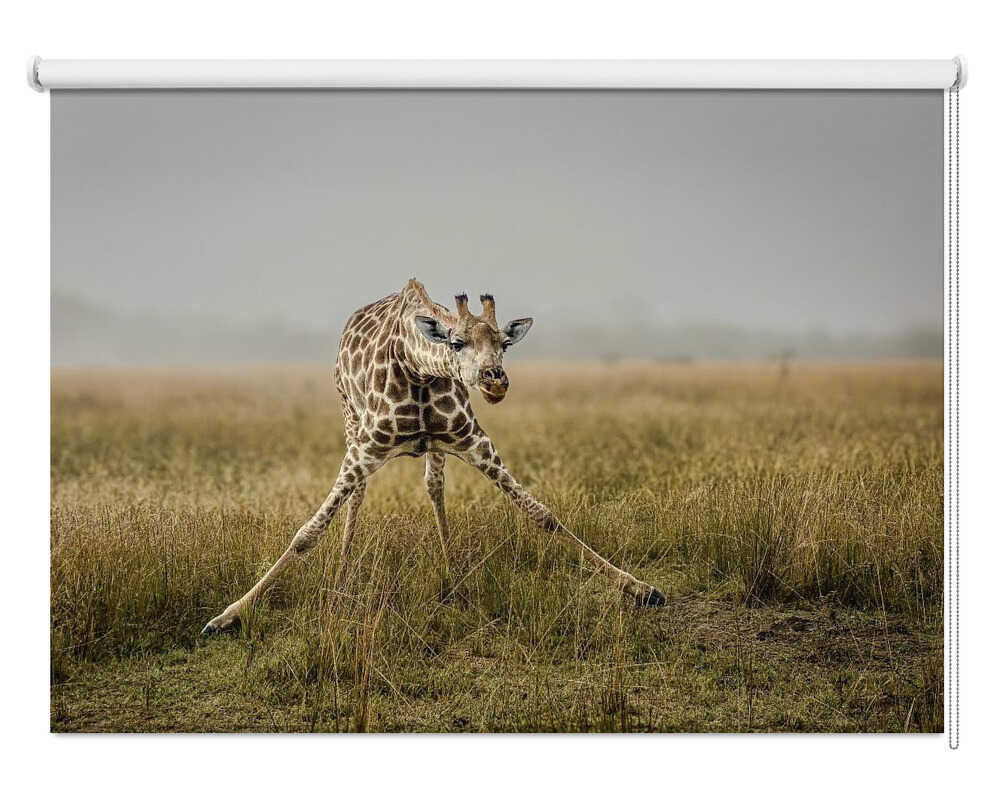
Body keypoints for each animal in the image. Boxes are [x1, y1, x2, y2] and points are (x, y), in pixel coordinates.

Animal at [202, 279, 664, 635]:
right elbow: (307, 533)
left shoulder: (474, 441)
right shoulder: (367, 446)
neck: (418, 369)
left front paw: (642, 589)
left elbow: (542, 514)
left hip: (436, 449)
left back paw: (454, 578)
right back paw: (343, 574)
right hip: (350, 421)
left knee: (434, 487)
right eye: (456, 342)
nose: (495, 380)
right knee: (357, 496)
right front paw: (227, 616)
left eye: (504, 344)